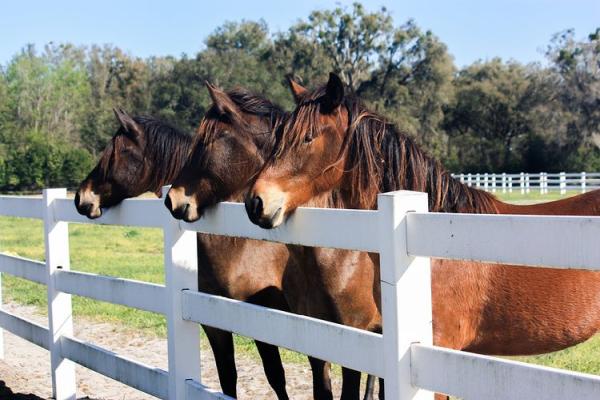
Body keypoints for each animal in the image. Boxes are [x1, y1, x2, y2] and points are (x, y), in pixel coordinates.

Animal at [74, 108, 290, 398]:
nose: (80, 198)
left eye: (118, 151)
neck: (239, 243)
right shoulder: (214, 322)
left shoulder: (262, 316)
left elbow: (275, 375)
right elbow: (227, 376)